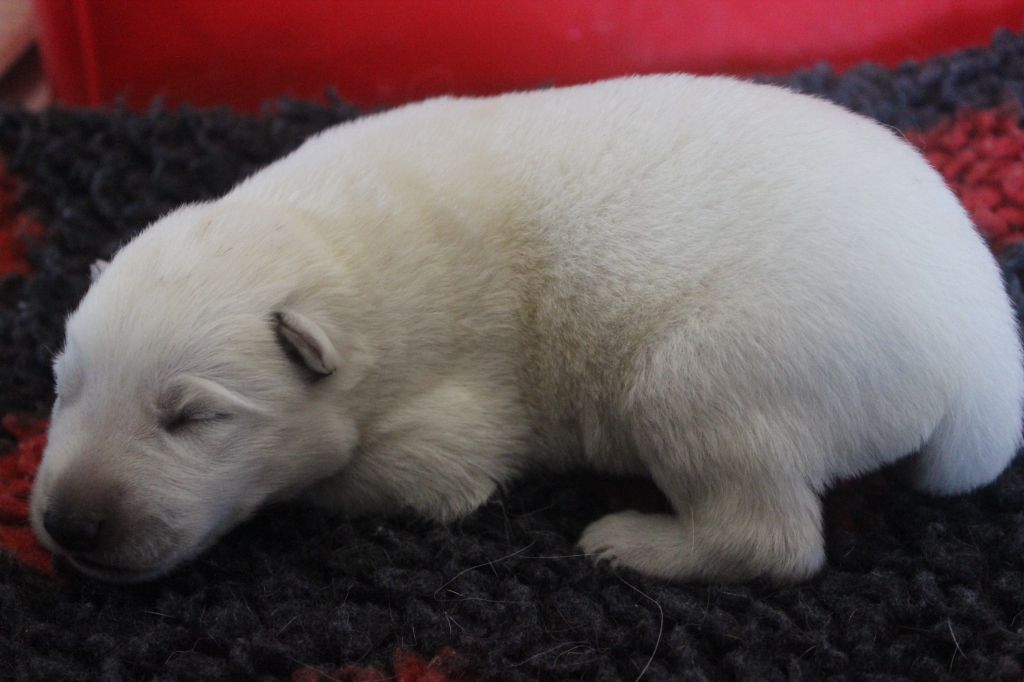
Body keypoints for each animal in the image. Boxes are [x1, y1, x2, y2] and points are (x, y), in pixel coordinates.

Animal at [28, 76, 1019, 581]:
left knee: (770, 538)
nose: (69, 526)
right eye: (62, 390)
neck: (326, 245)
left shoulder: (443, 436)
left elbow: (367, 479)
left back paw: (632, 541)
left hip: (712, 375)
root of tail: (985, 353)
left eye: (193, 418)